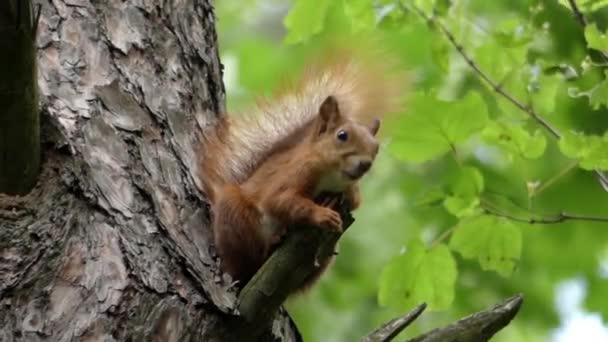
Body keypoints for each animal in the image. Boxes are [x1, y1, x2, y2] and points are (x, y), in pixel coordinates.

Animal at [198, 52, 404, 288]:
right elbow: (281, 200)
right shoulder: (294, 173)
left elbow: (355, 202)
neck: (332, 177)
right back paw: (271, 243)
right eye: (342, 135)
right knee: (249, 260)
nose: (365, 164)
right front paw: (322, 214)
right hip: (235, 215)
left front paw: (338, 198)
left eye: (376, 147)